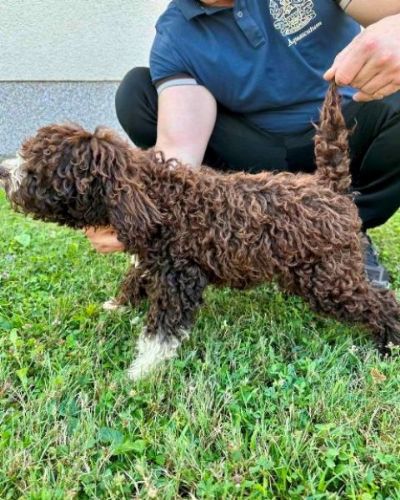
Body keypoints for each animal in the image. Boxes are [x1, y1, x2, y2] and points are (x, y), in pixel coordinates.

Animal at [0, 83, 400, 378]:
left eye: (38, 168)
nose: (4, 172)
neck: (159, 196)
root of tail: (329, 186)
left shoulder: (179, 278)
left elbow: (161, 331)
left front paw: (140, 372)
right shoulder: (153, 260)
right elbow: (134, 277)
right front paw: (116, 305)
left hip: (328, 277)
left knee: (379, 303)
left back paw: (390, 343)